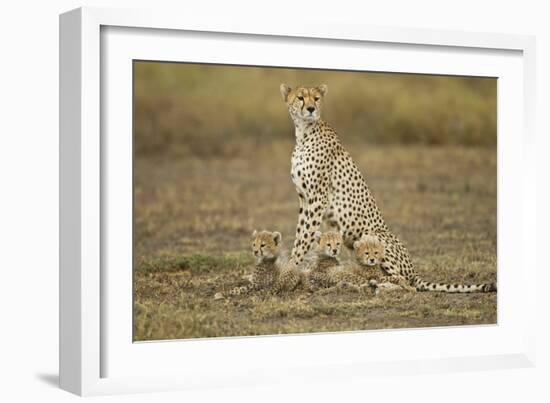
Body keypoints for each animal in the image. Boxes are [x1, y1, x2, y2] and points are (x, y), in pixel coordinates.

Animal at [282, 84, 498, 294]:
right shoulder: (304, 198)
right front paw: (294, 267)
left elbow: (304, 237)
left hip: (375, 238)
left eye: (316, 98)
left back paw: (378, 287)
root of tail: (414, 271)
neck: (304, 133)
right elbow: (300, 234)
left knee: (406, 283)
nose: (311, 109)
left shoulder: (318, 198)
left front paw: (291, 268)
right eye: (300, 97)